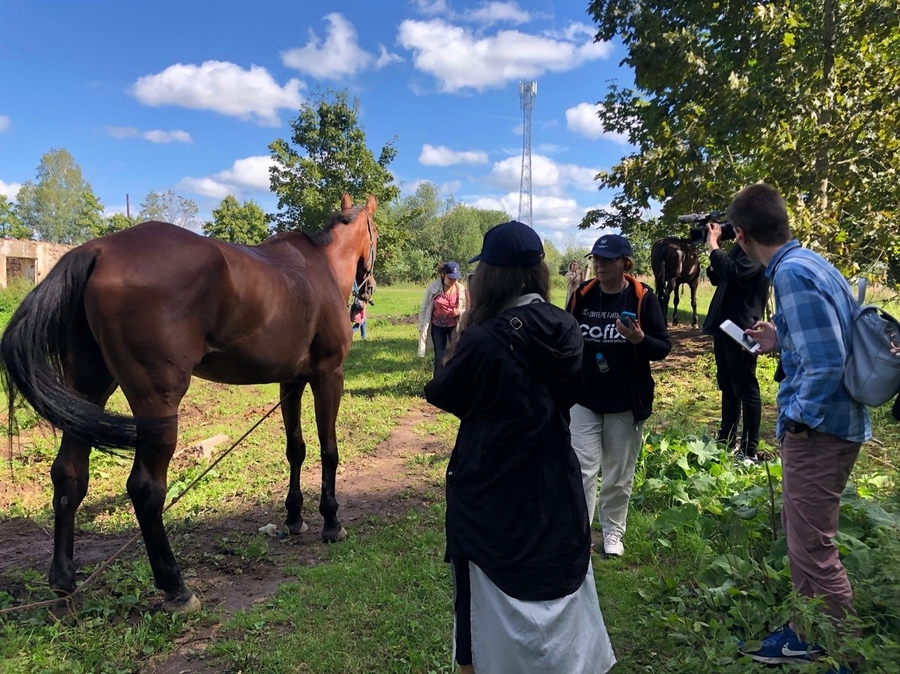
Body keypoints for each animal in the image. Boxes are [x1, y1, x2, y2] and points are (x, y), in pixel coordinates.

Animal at [0, 192, 376, 612]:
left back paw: (64, 582)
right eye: (374, 234)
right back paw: (175, 587)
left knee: (69, 475)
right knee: (145, 489)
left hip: (87, 395)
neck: (317, 267)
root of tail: (96, 250)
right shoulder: (329, 376)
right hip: (157, 404)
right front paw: (331, 521)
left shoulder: (290, 383)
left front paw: (294, 517)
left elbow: (296, 449)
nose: (368, 289)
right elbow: (329, 450)